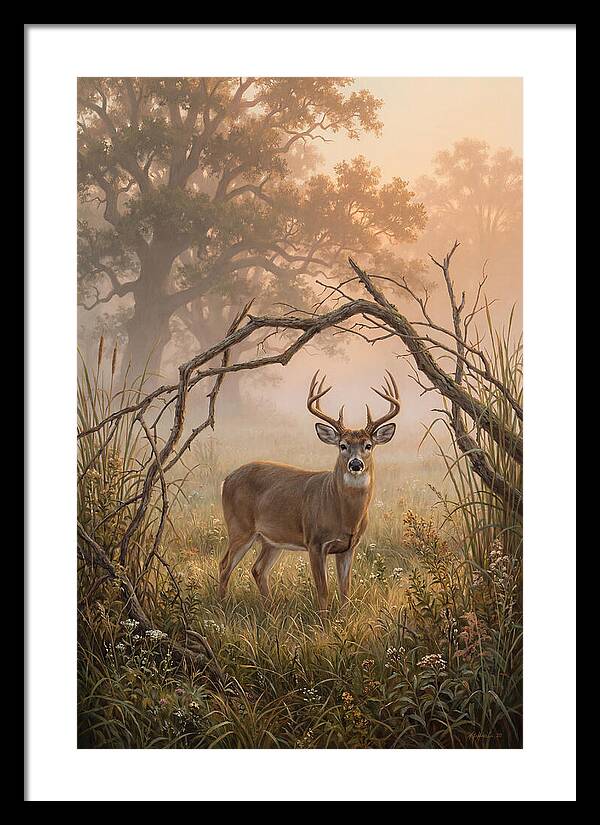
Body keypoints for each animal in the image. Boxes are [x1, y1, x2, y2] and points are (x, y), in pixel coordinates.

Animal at [218, 370, 400, 612]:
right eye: (342, 445)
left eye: (368, 445)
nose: (355, 464)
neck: (344, 515)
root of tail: (226, 479)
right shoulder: (315, 542)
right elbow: (323, 591)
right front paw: (324, 620)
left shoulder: (349, 547)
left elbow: (345, 590)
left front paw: (343, 617)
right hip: (240, 527)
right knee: (224, 565)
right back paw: (221, 606)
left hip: (271, 539)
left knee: (258, 569)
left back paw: (270, 610)